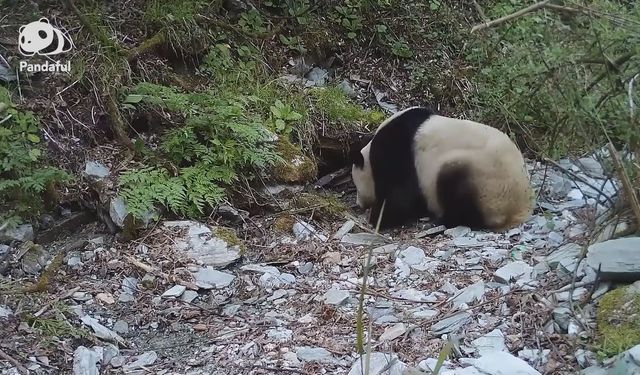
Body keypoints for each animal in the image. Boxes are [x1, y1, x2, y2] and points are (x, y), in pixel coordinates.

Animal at [350, 106, 536, 232]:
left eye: (357, 187)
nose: (359, 203)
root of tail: (519, 211)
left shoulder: (397, 153)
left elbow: (400, 195)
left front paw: (376, 218)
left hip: (484, 178)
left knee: (455, 189)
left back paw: (443, 219)